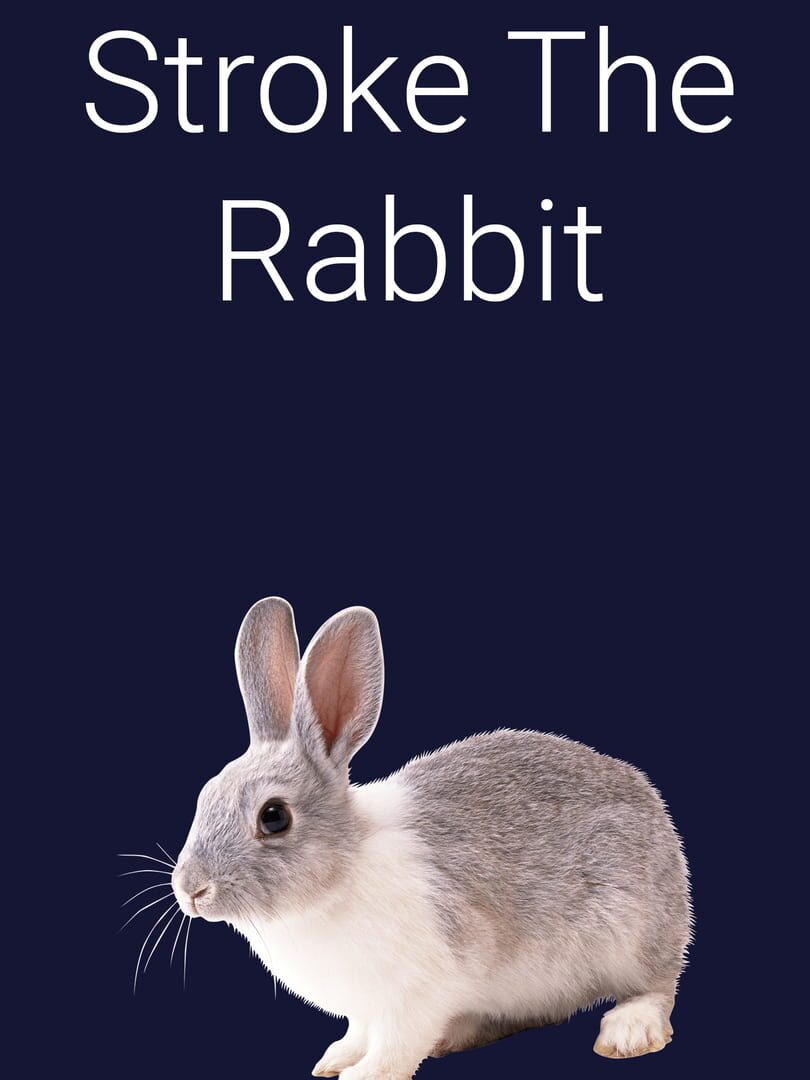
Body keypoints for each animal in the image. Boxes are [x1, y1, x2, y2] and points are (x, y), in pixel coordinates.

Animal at [172, 598, 691, 1078]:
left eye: (274, 817)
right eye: (205, 795)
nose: (191, 890)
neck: (340, 874)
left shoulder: (417, 992)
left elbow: (396, 1044)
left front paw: (362, 1074)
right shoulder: (366, 1008)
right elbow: (359, 1032)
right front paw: (334, 1059)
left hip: (634, 934)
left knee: (657, 986)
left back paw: (628, 1032)